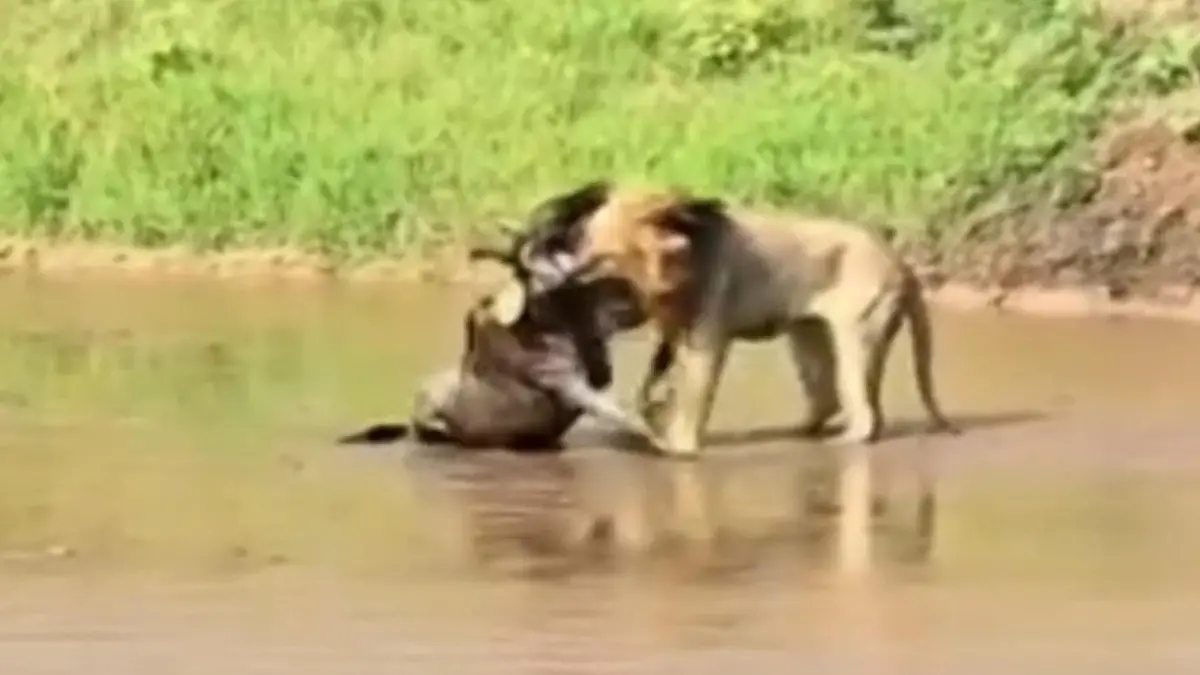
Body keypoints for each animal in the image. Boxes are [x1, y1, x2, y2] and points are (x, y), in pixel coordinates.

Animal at [522, 182, 959, 457]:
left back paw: (844, 440)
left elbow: (695, 391)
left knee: (862, 406)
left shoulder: (708, 331)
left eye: (596, 254)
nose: (563, 274)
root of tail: (902, 265)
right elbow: (656, 382)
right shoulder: (674, 328)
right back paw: (795, 432)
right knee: (825, 392)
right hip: (806, 333)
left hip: (860, 326)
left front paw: (679, 448)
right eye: (578, 239)